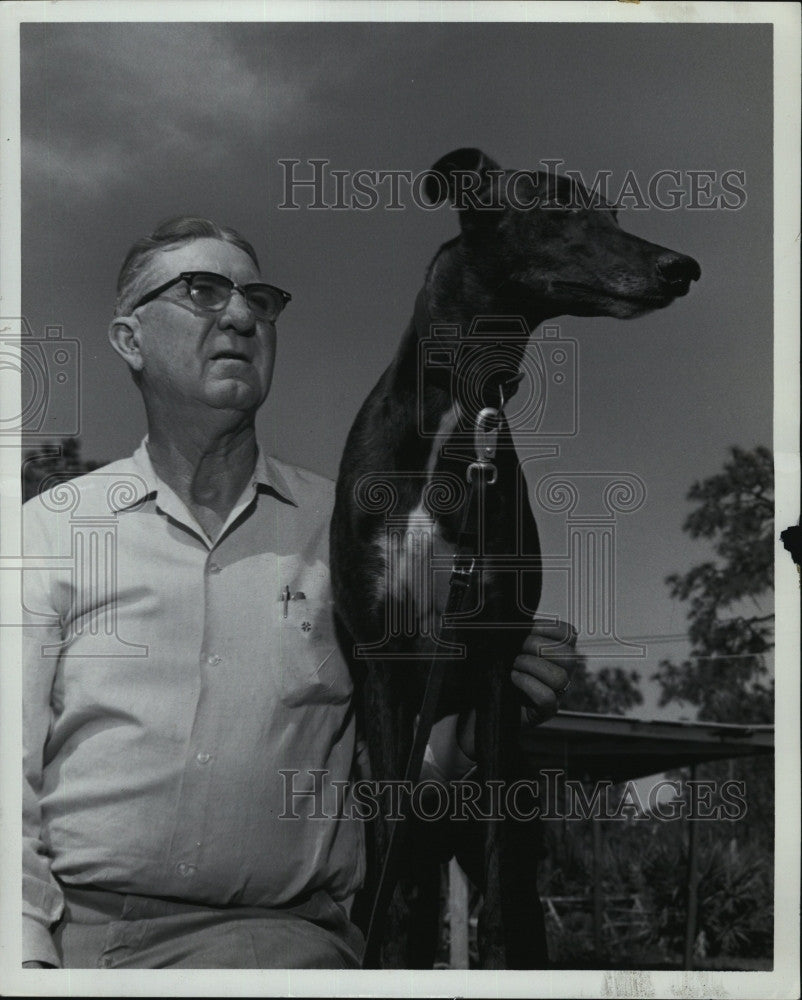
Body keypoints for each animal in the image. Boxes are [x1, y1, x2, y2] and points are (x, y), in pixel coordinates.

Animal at [328, 148, 696, 968]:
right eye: (556, 207)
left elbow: (498, 875)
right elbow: (393, 862)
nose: (681, 266)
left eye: (613, 212)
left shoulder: (494, 651)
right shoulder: (379, 653)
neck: (458, 417)